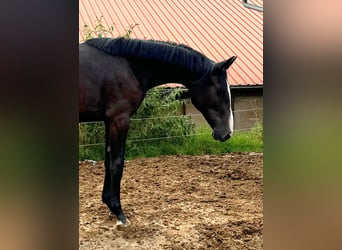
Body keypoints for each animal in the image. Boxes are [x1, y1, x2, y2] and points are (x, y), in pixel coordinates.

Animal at [79, 37, 236, 225]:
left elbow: (108, 162)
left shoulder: (109, 121)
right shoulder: (120, 120)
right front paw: (119, 212)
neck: (128, 66)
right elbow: (117, 164)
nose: (227, 133)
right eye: (220, 91)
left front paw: (109, 204)